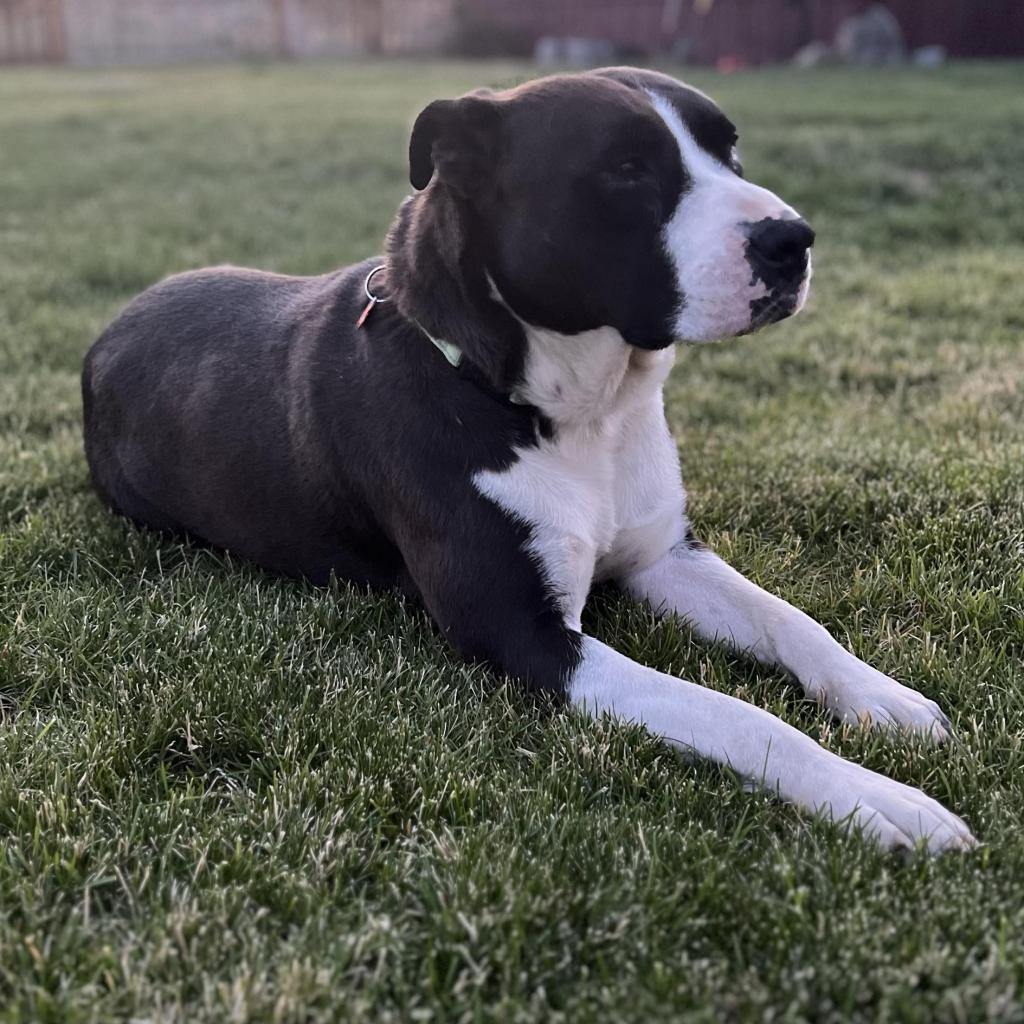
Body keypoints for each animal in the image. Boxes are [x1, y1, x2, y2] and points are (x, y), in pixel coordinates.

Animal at [81, 61, 974, 847]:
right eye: (624, 170)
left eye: (730, 151)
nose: (793, 239)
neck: (573, 408)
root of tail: (110, 328)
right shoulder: (526, 634)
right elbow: (732, 711)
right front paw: (871, 797)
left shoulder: (664, 555)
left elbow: (791, 620)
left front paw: (881, 698)